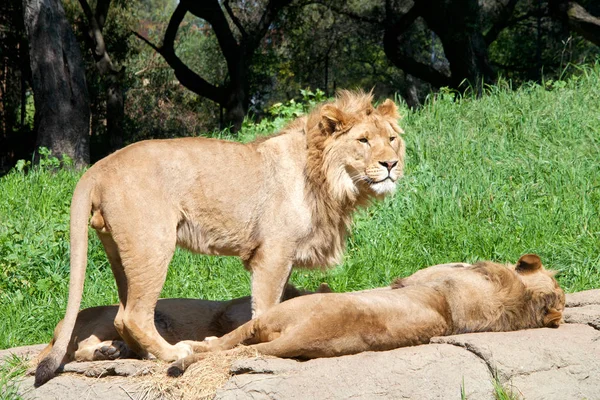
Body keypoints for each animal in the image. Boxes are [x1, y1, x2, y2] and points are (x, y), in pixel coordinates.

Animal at [35, 90, 406, 384]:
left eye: (392, 139)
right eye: (363, 141)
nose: (391, 164)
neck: (330, 180)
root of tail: (98, 166)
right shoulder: (273, 253)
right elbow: (266, 307)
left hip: (119, 252)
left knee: (122, 314)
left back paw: (129, 353)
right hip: (152, 244)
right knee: (133, 315)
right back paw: (173, 353)